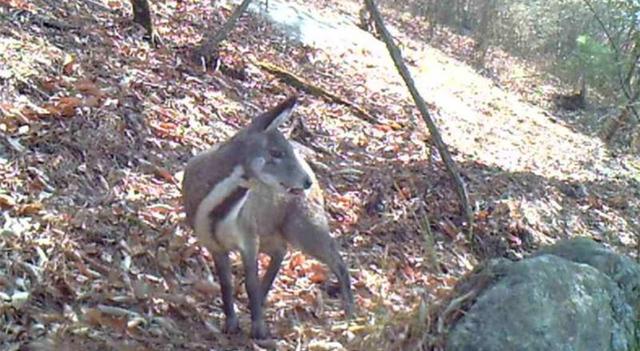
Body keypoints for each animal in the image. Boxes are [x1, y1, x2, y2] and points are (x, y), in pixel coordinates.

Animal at [181, 95, 356, 338]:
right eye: (276, 152)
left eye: (285, 150)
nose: (306, 181)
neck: (215, 214)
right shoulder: (212, 242)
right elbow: (226, 283)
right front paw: (231, 324)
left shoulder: (248, 233)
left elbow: (250, 282)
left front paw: (259, 330)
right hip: (271, 230)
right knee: (282, 251)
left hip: (303, 226)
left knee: (336, 259)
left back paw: (350, 313)